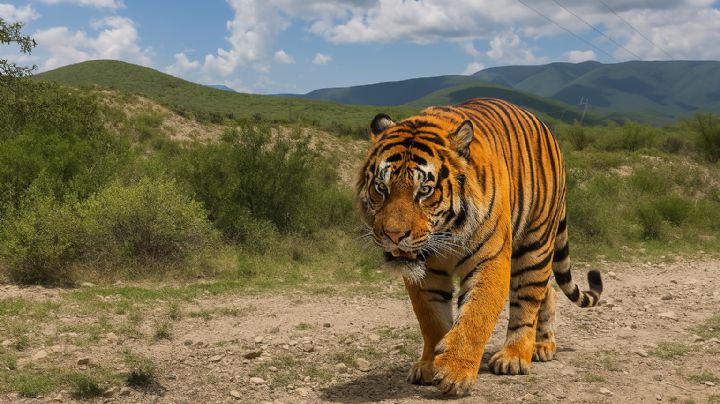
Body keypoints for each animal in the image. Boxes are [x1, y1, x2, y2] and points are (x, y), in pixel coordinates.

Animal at [355, 98, 603, 395]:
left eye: (424, 191)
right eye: (381, 187)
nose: (393, 235)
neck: (447, 232)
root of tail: (545, 127)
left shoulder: (490, 259)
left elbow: (476, 315)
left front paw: (455, 372)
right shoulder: (427, 272)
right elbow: (432, 319)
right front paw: (429, 364)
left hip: (535, 243)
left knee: (528, 299)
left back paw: (518, 355)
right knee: (549, 291)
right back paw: (539, 345)